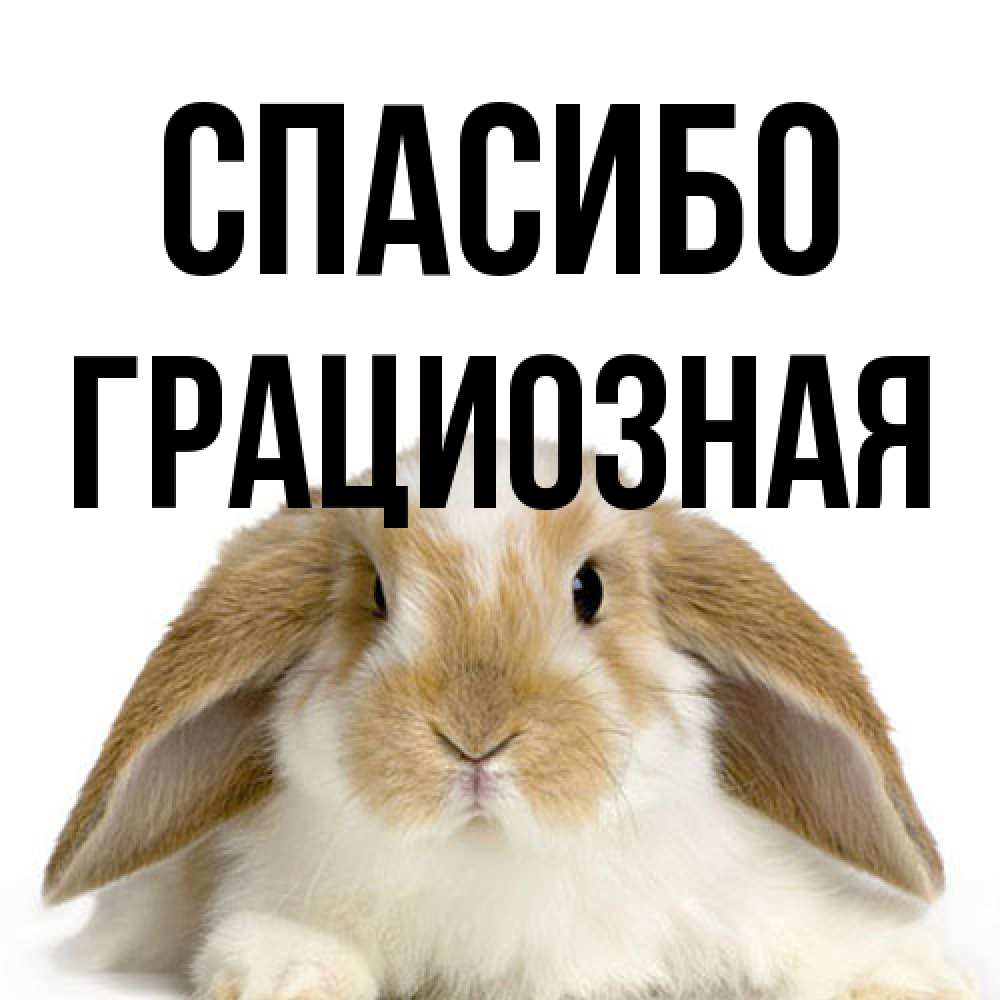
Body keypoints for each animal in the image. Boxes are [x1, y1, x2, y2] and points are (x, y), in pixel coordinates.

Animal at [45, 440, 975, 1000]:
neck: (495, 857)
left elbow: (818, 939)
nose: (475, 737)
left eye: (589, 589)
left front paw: (909, 978)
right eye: (375, 596)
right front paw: (290, 977)